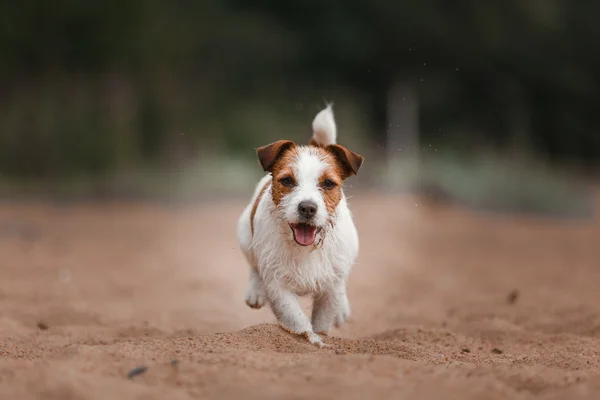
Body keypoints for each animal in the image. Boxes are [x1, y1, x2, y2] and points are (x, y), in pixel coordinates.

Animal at [237, 104, 364, 346]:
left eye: (328, 183)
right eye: (287, 180)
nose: (307, 208)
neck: (306, 248)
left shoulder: (330, 290)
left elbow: (323, 321)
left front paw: (321, 339)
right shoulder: (278, 287)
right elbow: (297, 320)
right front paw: (311, 341)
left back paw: (343, 309)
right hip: (244, 237)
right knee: (253, 264)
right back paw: (255, 291)